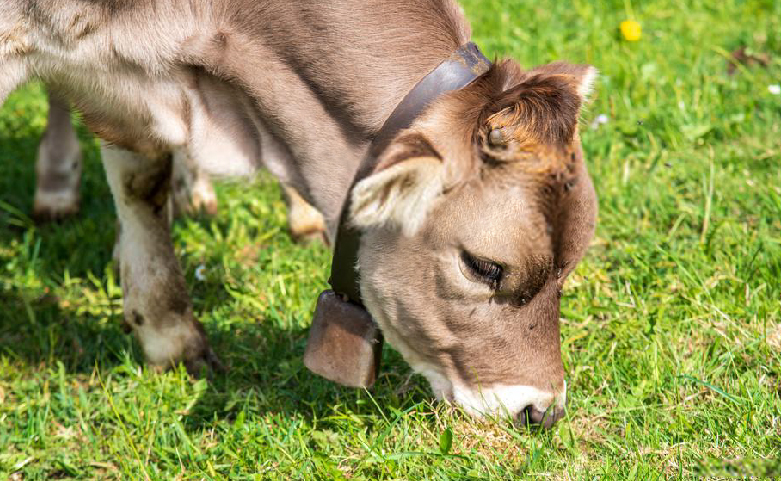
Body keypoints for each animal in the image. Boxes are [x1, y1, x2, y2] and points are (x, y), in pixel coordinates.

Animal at [1, 0, 596, 428]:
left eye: (568, 269)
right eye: (484, 267)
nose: (541, 411)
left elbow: (141, 176)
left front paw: (164, 329)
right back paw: (57, 186)